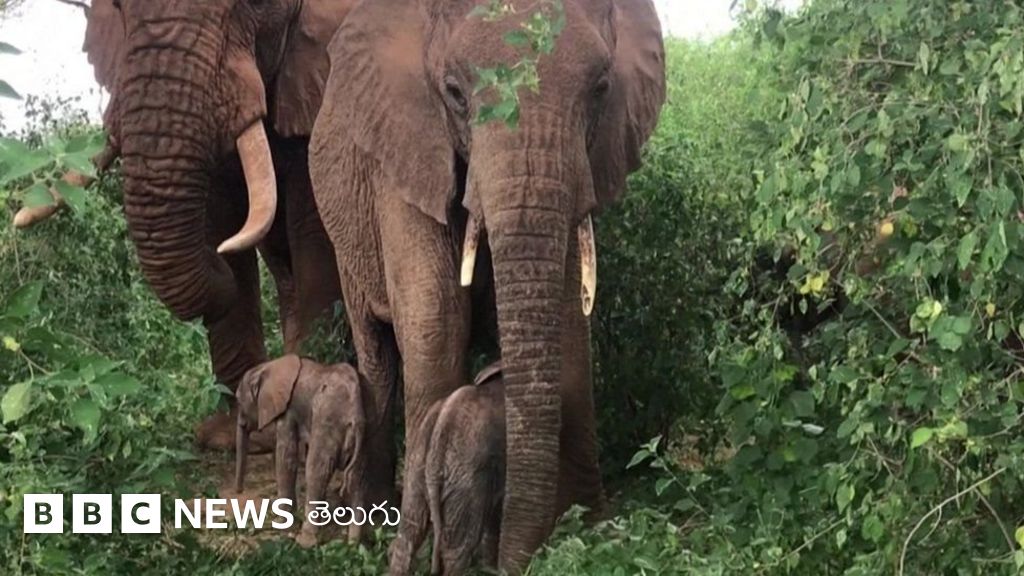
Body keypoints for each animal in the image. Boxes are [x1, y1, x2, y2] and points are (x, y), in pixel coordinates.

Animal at [39, 0, 357, 450]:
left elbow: (313, 227)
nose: (217, 258)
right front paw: (234, 435)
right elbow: (220, 213)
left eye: (256, 4)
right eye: (117, 7)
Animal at [234, 354, 367, 547]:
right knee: (357, 477)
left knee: (317, 471)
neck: (267, 366)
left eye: (238, 400)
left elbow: (286, 456)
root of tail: (354, 412)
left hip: (328, 421)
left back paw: (305, 541)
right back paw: (354, 544)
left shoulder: (287, 410)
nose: (239, 491)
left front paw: (284, 528)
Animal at [308, 0, 665, 571]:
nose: (511, 560)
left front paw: (587, 523)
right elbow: (436, 317)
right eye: (454, 92)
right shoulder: (406, 155)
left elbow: (569, 321)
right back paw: (368, 522)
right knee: (377, 354)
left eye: (601, 88)